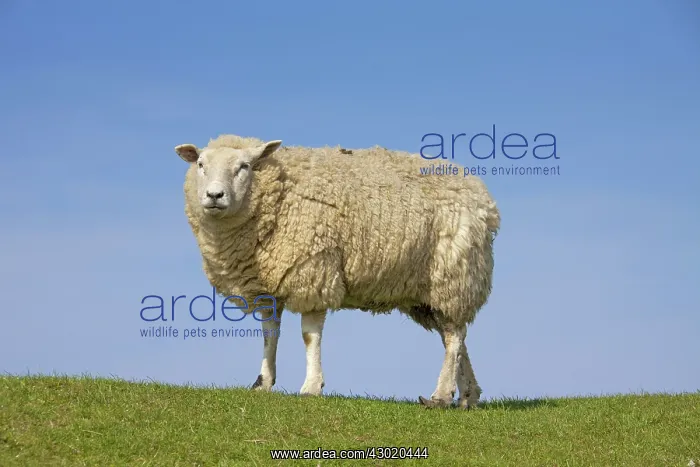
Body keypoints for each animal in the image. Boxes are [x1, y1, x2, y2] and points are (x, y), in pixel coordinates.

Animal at [174, 134, 500, 408]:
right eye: (201, 164)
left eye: (243, 166)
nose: (214, 196)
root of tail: (484, 199)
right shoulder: (267, 285)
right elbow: (269, 335)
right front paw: (263, 383)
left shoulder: (314, 269)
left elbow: (309, 336)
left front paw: (311, 386)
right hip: (426, 292)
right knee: (454, 336)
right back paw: (468, 395)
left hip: (453, 274)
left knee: (455, 336)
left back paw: (441, 395)